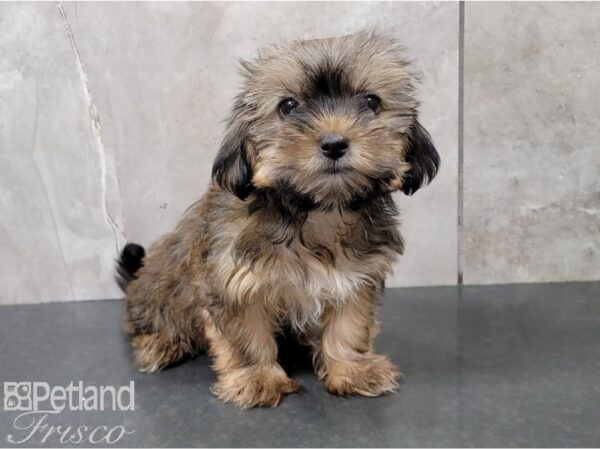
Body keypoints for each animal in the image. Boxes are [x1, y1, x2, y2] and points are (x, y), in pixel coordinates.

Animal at [118, 31, 440, 408]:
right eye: (288, 106)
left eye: (371, 102)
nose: (334, 143)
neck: (315, 212)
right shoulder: (232, 282)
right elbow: (246, 337)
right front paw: (257, 378)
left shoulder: (355, 278)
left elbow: (348, 326)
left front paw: (352, 369)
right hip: (159, 290)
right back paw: (160, 344)